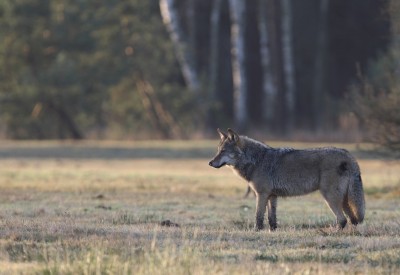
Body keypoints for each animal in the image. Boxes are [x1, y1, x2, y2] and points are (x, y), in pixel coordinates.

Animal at [209, 129, 366, 231]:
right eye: (218, 150)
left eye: (223, 151)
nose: (210, 163)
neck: (256, 160)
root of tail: (349, 156)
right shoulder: (272, 196)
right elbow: (271, 218)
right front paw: (272, 231)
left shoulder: (261, 194)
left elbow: (258, 216)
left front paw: (256, 231)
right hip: (344, 200)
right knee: (353, 220)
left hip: (330, 198)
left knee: (343, 220)